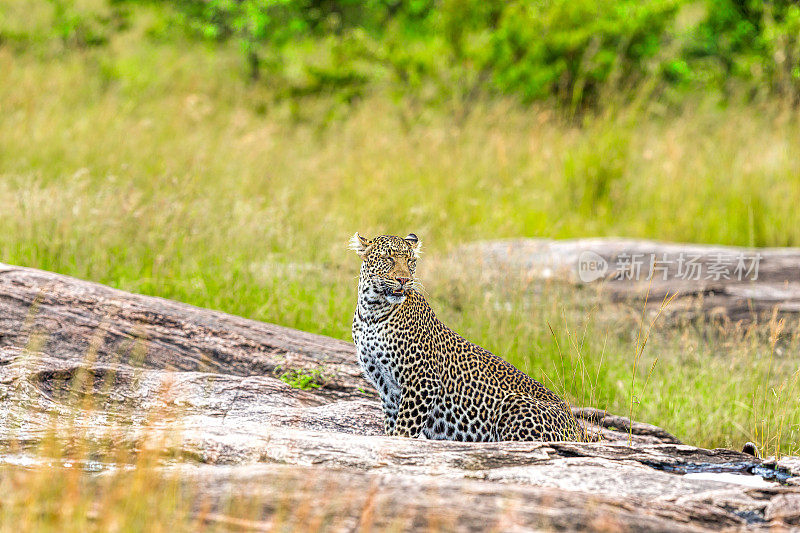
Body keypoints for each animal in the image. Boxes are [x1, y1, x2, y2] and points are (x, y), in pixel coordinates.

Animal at [350, 231, 588, 442]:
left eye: (410, 261)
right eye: (387, 258)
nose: (403, 279)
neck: (372, 312)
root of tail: (579, 429)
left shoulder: (423, 380)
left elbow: (405, 429)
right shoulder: (387, 389)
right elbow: (393, 427)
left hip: (515, 404)